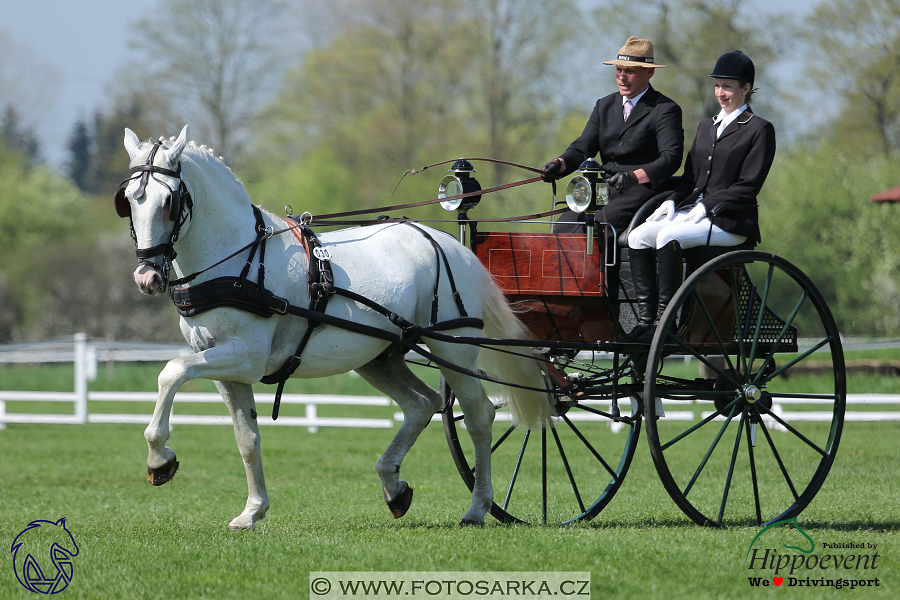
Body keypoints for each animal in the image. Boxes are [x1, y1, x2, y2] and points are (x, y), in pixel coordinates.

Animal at [114, 124, 548, 528]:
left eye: (169, 202)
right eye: (130, 201)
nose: (147, 276)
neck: (238, 257)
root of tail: (452, 245)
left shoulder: (245, 358)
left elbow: (171, 373)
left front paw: (159, 459)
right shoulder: (224, 367)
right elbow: (247, 439)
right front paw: (253, 511)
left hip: (452, 349)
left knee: (478, 417)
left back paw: (477, 508)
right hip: (379, 356)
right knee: (422, 403)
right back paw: (394, 487)